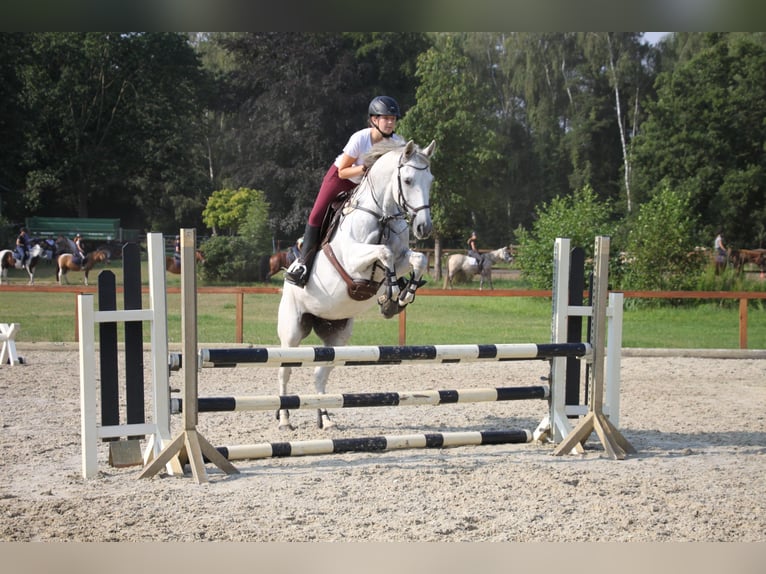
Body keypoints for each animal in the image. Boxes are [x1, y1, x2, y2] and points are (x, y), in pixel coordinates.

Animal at [276, 140, 436, 432]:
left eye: (430, 180)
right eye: (407, 180)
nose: (424, 228)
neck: (381, 215)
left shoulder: (402, 257)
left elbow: (418, 258)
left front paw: (402, 296)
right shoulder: (352, 261)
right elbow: (384, 252)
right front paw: (391, 292)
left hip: (337, 336)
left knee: (319, 375)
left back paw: (326, 418)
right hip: (292, 332)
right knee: (285, 370)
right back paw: (284, 419)